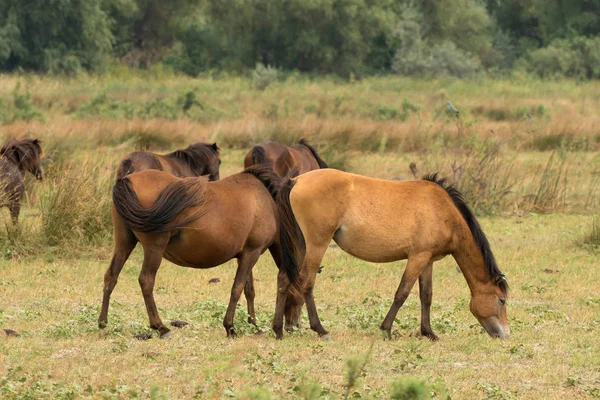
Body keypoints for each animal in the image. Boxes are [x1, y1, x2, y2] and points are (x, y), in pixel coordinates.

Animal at [98, 166, 286, 338]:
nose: (284, 330)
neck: (265, 202)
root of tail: (127, 180)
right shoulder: (251, 253)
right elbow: (237, 289)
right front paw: (230, 327)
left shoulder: (246, 255)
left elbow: (249, 290)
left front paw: (253, 324)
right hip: (154, 248)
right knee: (146, 280)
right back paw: (160, 327)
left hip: (124, 243)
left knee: (111, 276)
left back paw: (103, 322)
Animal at [274, 169, 508, 340]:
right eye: (502, 300)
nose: (505, 334)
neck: (442, 210)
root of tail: (296, 180)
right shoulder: (417, 257)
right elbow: (402, 293)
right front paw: (386, 329)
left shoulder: (428, 260)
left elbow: (426, 295)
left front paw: (428, 332)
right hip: (317, 245)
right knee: (307, 282)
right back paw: (320, 330)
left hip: (301, 245)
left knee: (284, 278)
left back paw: (277, 329)